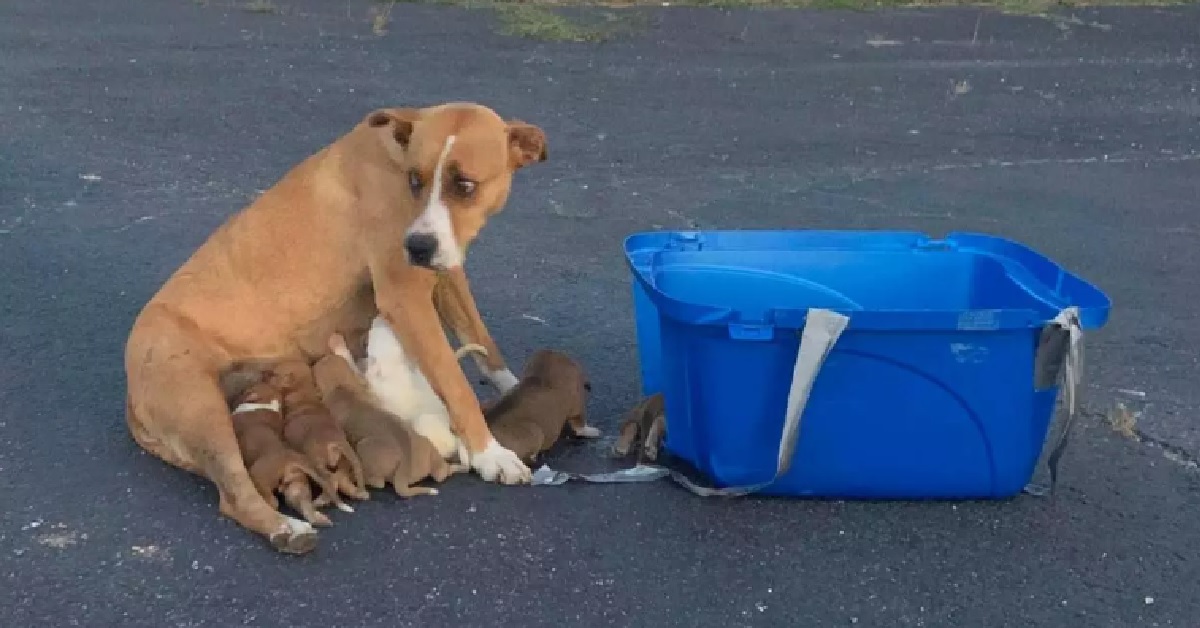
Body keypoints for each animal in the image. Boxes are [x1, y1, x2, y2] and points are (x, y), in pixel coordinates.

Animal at [229, 384, 343, 525]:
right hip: (294, 481)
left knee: (273, 502)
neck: (268, 403)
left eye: (246, 390)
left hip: (258, 477)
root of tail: (290, 458)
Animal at [265, 357, 367, 506]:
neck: (303, 393)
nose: (262, 375)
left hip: (315, 460)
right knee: (353, 471)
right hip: (350, 459)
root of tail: (334, 442)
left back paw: (321, 500)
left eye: (274, 374)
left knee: (330, 478)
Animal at [309, 341, 463, 499]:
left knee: (379, 483)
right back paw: (456, 468)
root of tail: (404, 468)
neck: (341, 387)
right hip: (426, 447)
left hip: (366, 446)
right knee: (440, 473)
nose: (320, 358)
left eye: (318, 367)